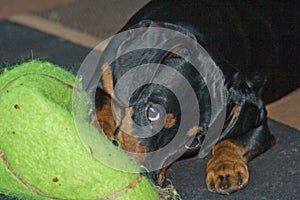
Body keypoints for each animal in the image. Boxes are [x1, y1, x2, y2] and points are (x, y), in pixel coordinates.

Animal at [92, 0, 298, 194]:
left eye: (193, 143)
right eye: (152, 112)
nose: (146, 181)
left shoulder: (260, 123)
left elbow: (234, 140)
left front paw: (227, 169)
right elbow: (101, 108)